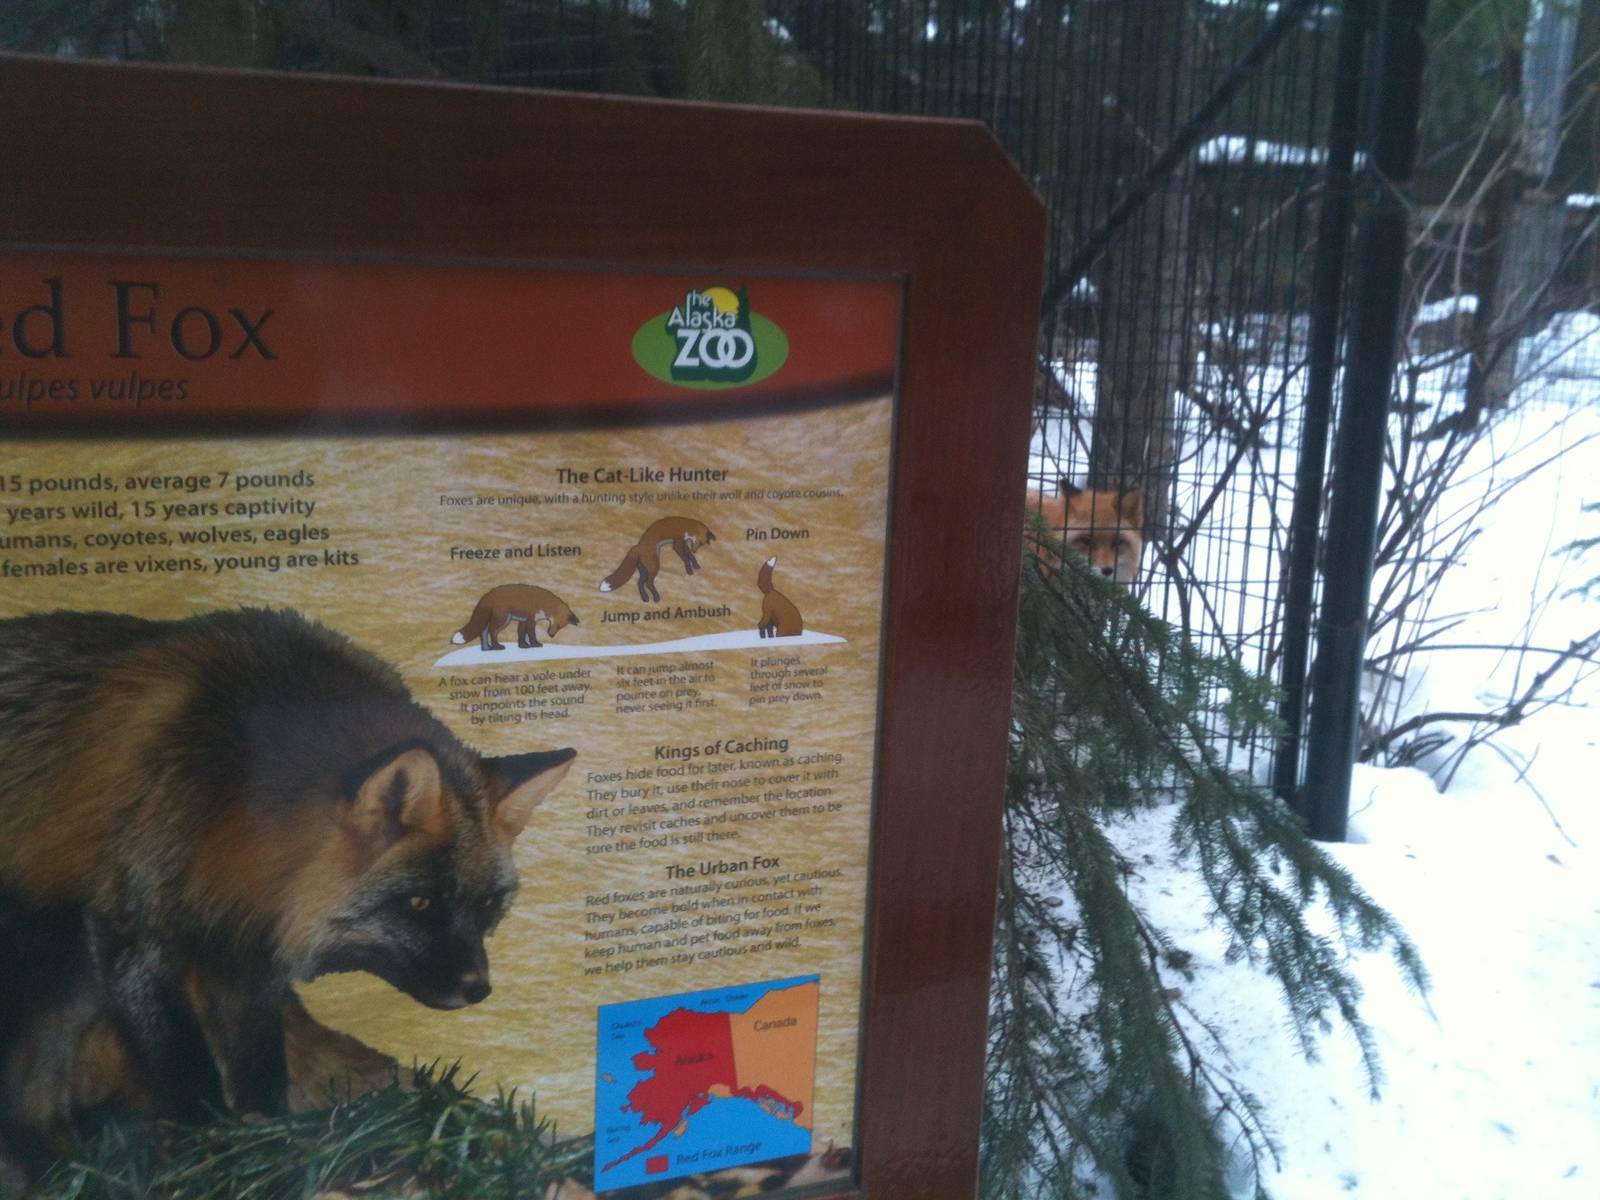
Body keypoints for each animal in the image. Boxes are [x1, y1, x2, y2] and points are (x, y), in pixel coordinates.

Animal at [0, 607, 575, 1124]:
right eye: (419, 902)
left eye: (487, 904)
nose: (479, 989)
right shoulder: (134, 931)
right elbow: (184, 1063)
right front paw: (214, 1139)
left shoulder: (248, 947)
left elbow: (260, 1062)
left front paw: (270, 1130)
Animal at [451, 584, 580, 651]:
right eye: (557, 625)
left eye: (561, 627)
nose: (551, 636)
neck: (543, 604)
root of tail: (487, 595)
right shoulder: (531, 619)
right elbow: (531, 634)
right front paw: (535, 644)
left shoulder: (524, 620)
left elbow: (522, 634)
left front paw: (523, 646)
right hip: (503, 619)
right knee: (492, 630)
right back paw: (496, 646)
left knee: (483, 631)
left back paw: (486, 648)